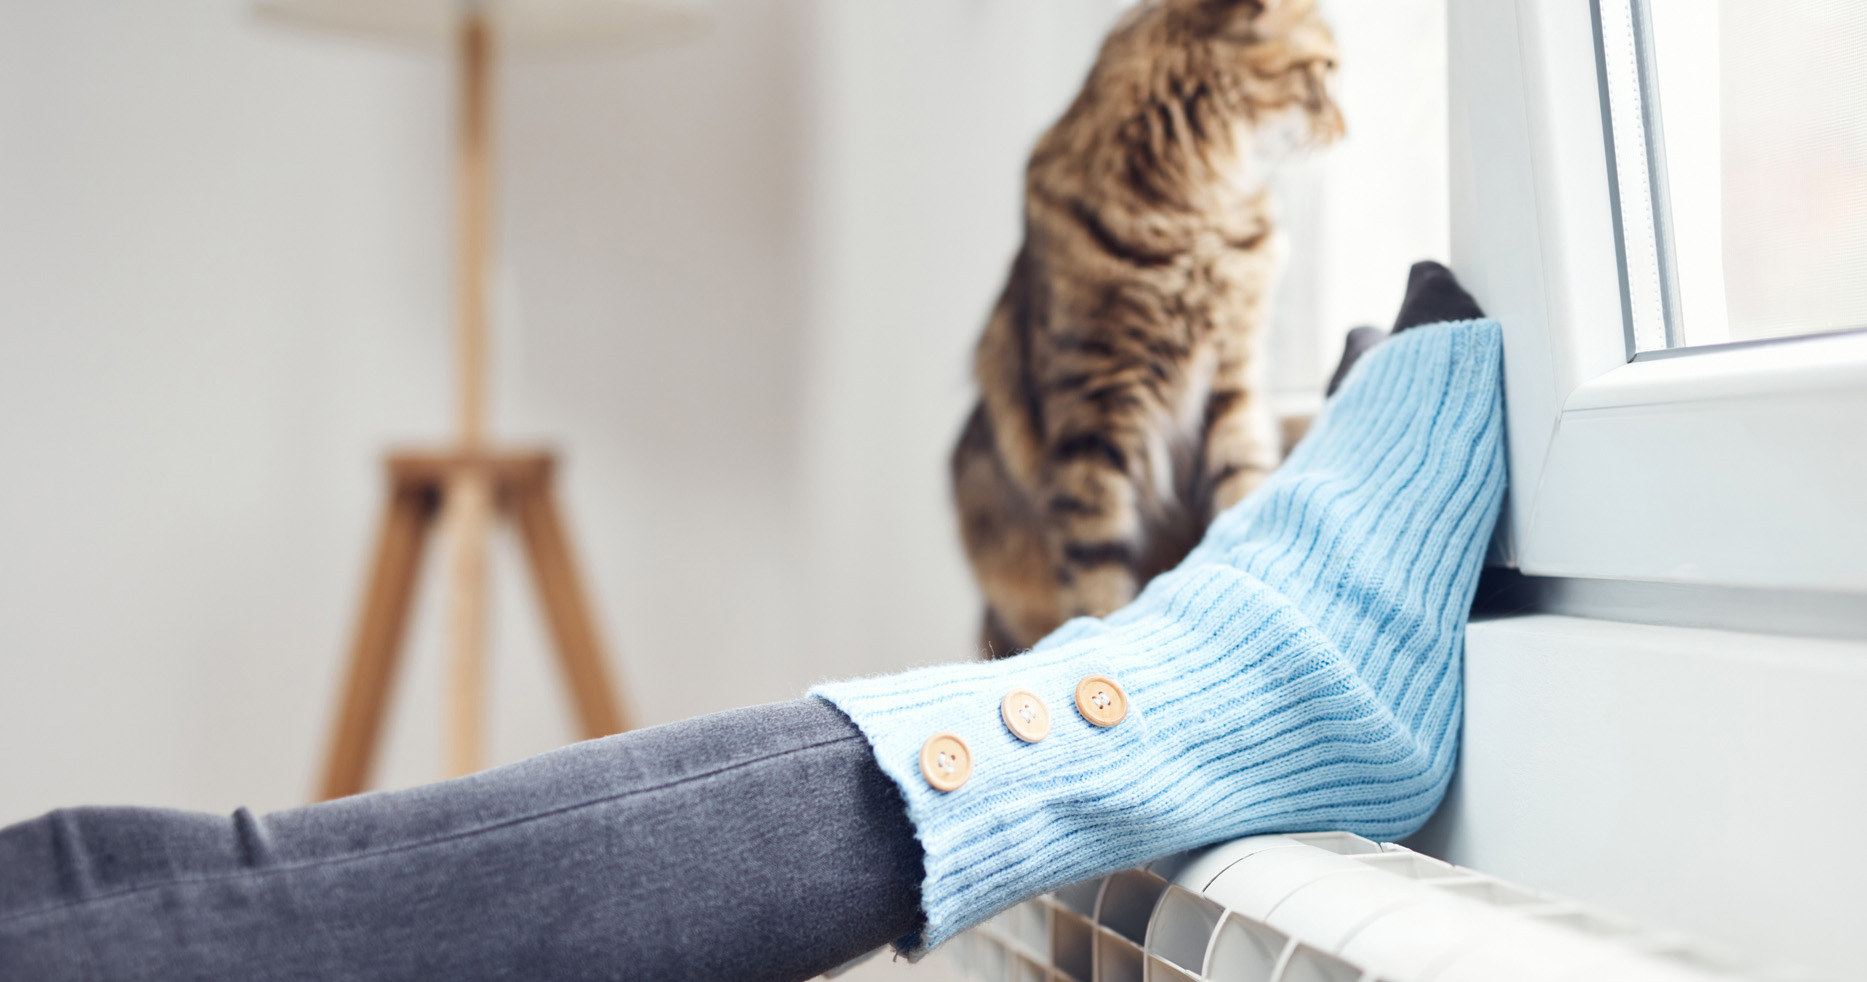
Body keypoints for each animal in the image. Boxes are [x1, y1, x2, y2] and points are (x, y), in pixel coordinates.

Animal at [955, 1, 1336, 660]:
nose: (1346, 128)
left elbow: (1241, 495)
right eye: (1324, 71)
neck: (1194, 217)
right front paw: (1104, 633)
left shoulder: (1232, 388)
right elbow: (1099, 574)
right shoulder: (1093, 415)